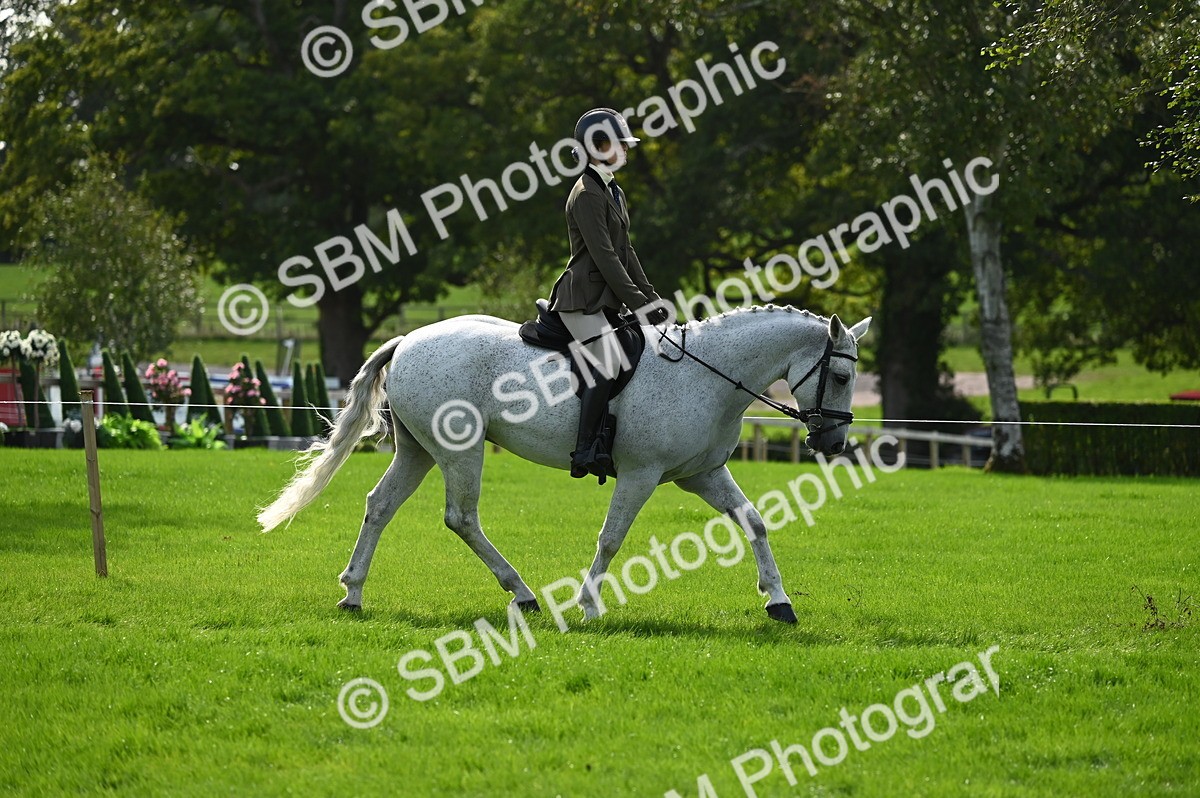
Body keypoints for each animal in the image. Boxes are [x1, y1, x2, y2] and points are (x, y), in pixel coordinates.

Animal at [258, 305, 871, 624]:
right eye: (841, 375)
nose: (835, 442)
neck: (708, 373)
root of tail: (409, 338)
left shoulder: (702, 474)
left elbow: (755, 522)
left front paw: (779, 602)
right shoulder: (642, 474)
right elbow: (612, 538)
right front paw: (589, 605)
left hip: (417, 450)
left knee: (379, 507)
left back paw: (353, 593)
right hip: (459, 450)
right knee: (461, 518)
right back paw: (523, 592)